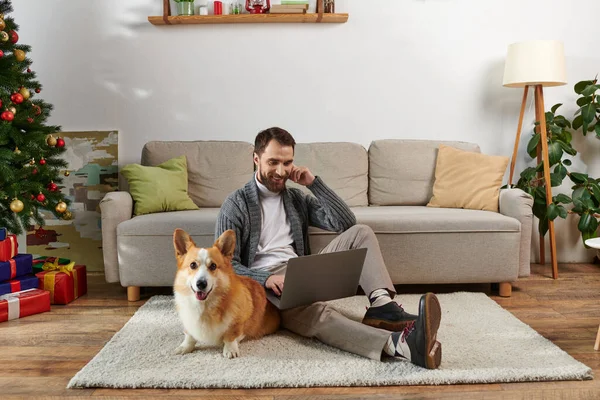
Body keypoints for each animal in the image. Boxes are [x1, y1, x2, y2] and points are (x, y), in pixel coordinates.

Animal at [171, 228, 278, 360]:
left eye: (213, 266)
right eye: (192, 265)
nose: (201, 284)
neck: (205, 306)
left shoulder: (236, 323)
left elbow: (230, 337)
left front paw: (230, 350)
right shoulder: (188, 322)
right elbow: (189, 336)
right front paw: (185, 347)